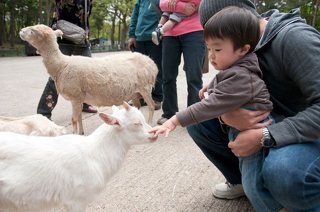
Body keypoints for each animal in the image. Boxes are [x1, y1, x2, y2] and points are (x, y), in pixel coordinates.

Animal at [18, 24, 158, 134]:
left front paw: (74, 134)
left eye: (33, 31)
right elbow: (79, 117)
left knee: (151, 105)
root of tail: (151, 62)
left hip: (145, 87)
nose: (20, 31)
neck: (61, 65)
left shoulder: (75, 97)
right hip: (134, 91)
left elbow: (74, 120)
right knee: (137, 106)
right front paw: (81, 133)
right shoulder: (79, 98)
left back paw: (150, 123)